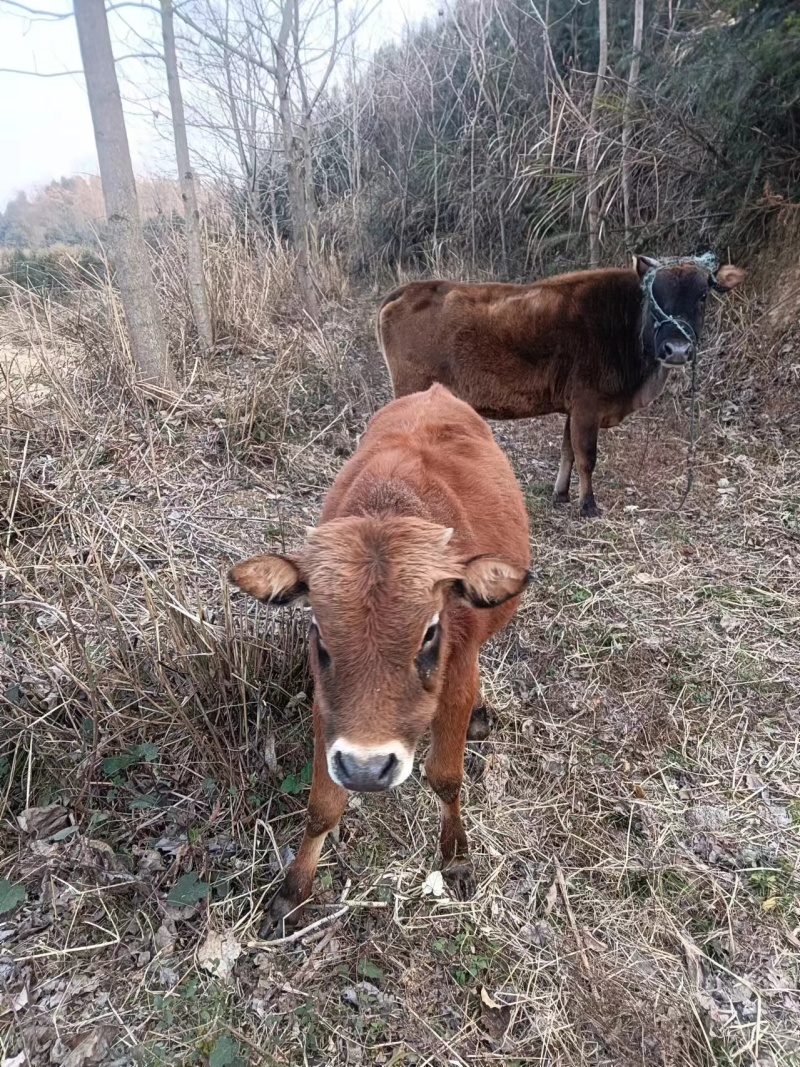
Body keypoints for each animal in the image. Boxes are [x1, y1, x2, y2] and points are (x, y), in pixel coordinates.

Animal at [230, 386, 533, 934]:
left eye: (430, 631)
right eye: (319, 631)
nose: (368, 770)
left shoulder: (458, 676)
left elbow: (446, 777)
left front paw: (456, 855)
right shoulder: (328, 708)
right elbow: (323, 804)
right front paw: (294, 890)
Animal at [379, 251, 750, 514]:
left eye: (702, 296)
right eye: (655, 295)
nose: (677, 348)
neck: (626, 324)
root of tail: (408, 290)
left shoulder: (574, 408)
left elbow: (567, 451)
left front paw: (561, 494)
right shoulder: (588, 404)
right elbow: (587, 456)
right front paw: (588, 506)